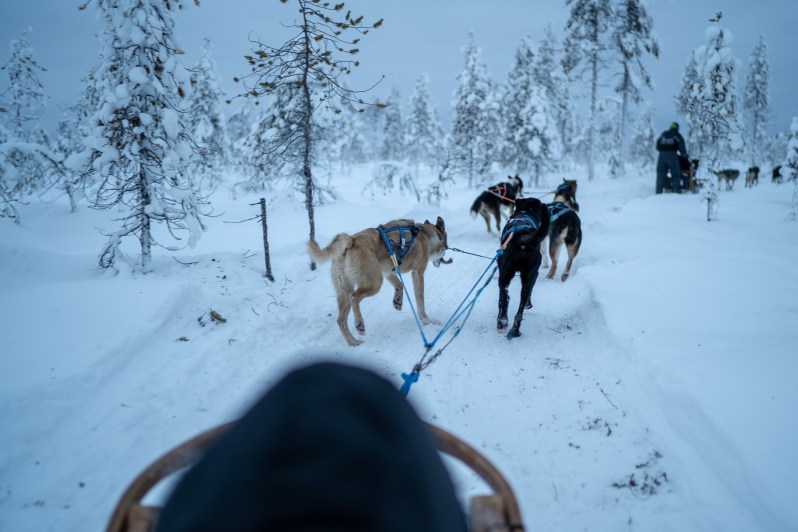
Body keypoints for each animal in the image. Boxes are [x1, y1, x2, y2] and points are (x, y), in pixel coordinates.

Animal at [308, 217, 449, 346]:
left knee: (341, 320)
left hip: (346, 290)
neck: (424, 235)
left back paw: (353, 342)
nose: (444, 258)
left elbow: (399, 285)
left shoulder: (388, 272)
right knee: (354, 297)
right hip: (375, 283)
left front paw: (398, 301)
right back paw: (359, 324)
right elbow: (420, 303)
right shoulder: (417, 273)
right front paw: (427, 320)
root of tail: (351, 240)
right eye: (444, 248)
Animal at [496, 197, 550, 339]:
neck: (525, 212)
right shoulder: (534, 275)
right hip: (525, 275)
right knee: (515, 302)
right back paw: (510, 327)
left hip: (507, 274)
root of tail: (523, 239)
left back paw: (505, 323)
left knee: (505, 298)